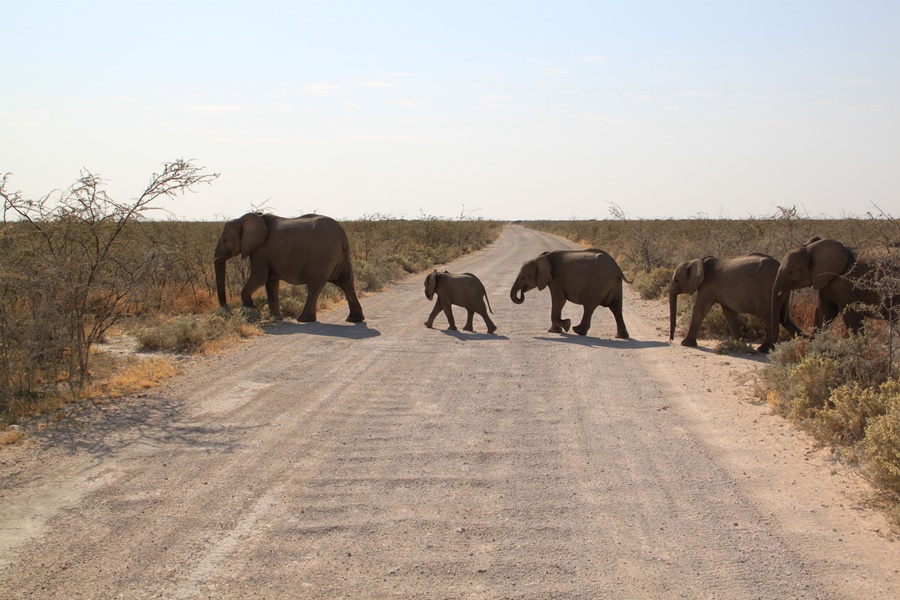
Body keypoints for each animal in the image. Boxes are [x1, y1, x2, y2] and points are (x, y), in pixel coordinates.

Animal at [214, 212, 364, 323]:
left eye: (225, 240)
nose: (230, 313)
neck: (243, 219)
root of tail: (342, 237)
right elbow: (271, 283)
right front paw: (275, 318)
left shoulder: (261, 251)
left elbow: (260, 277)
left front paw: (252, 311)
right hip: (343, 256)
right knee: (346, 283)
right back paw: (353, 319)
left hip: (323, 256)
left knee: (315, 285)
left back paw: (303, 319)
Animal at [669, 254, 801, 353]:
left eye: (677, 280)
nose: (671, 339)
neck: (699, 261)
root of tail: (779, 265)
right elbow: (729, 313)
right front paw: (739, 344)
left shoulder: (708, 285)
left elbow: (700, 309)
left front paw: (685, 344)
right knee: (783, 319)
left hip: (768, 290)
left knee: (770, 318)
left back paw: (764, 349)